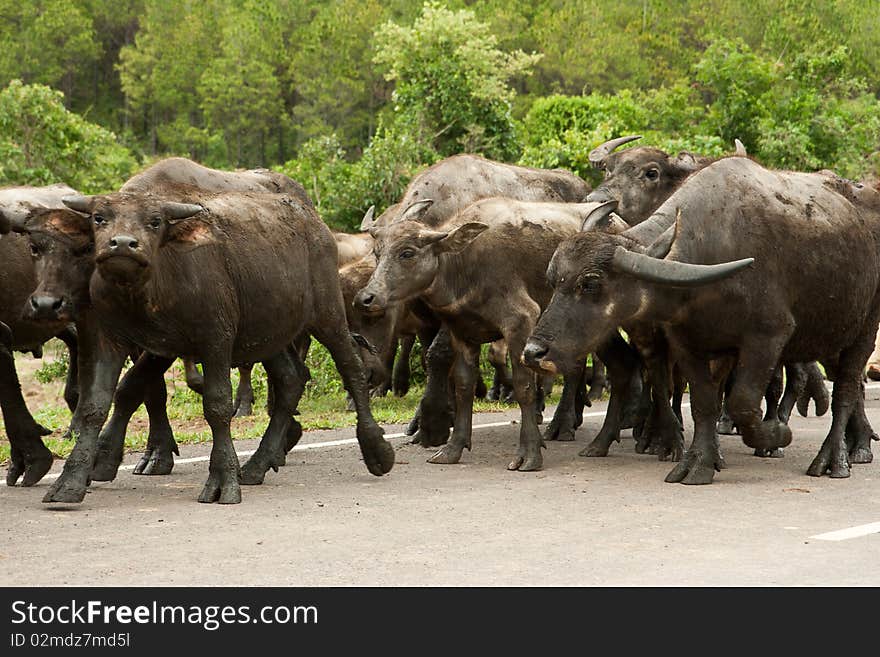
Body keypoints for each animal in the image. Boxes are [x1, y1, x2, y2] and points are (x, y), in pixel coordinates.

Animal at [27, 187, 392, 504]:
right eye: (99, 218)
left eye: (155, 221)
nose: (123, 245)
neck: (148, 289)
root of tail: (315, 224)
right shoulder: (118, 341)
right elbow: (100, 402)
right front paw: (72, 480)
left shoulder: (216, 339)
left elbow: (217, 406)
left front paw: (221, 479)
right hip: (270, 331)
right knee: (291, 379)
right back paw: (257, 464)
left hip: (327, 314)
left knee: (351, 367)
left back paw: (376, 449)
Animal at [524, 158, 876, 486]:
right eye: (553, 280)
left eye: (590, 284)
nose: (533, 352)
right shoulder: (687, 344)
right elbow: (704, 403)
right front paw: (699, 463)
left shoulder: (769, 336)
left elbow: (742, 402)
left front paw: (777, 433)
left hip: (863, 331)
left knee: (846, 391)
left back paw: (836, 458)